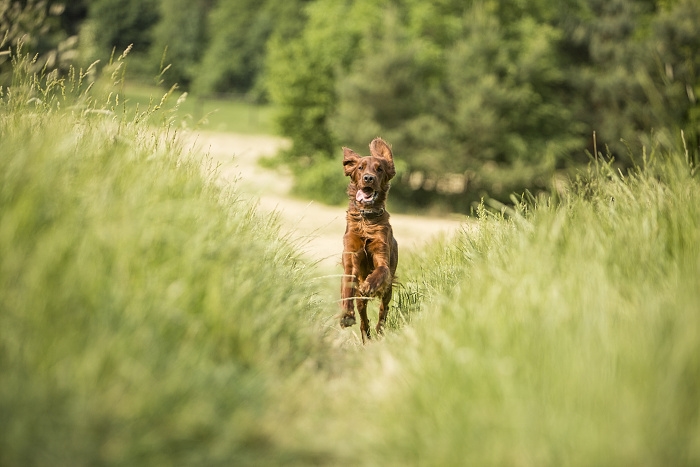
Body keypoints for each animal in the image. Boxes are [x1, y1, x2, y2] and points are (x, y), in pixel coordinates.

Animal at [340, 137, 400, 342]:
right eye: (360, 168)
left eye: (379, 169)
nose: (368, 178)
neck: (366, 221)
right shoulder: (351, 257)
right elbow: (347, 286)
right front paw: (346, 315)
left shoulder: (382, 259)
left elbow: (380, 271)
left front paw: (369, 285)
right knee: (363, 317)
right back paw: (365, 335)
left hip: (388, 289)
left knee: (383, 310)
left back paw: (379, 331)